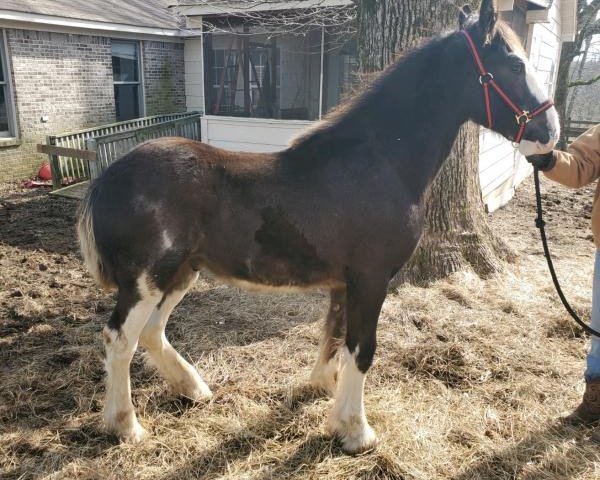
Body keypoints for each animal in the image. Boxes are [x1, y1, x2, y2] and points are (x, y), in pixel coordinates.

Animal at [77, 0, 560, 454]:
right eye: (514, 65)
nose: (550, 132)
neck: (379, 163)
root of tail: (106, 178)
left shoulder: (346, 282)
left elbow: (336, 336)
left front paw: (324, 393)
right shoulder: (371, 278)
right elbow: (362, 348)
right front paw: (357, 432)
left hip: (181, 272)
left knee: (151, 332)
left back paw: (194, 389)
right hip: (146, 280)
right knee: (120, 338)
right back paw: (125, 425)